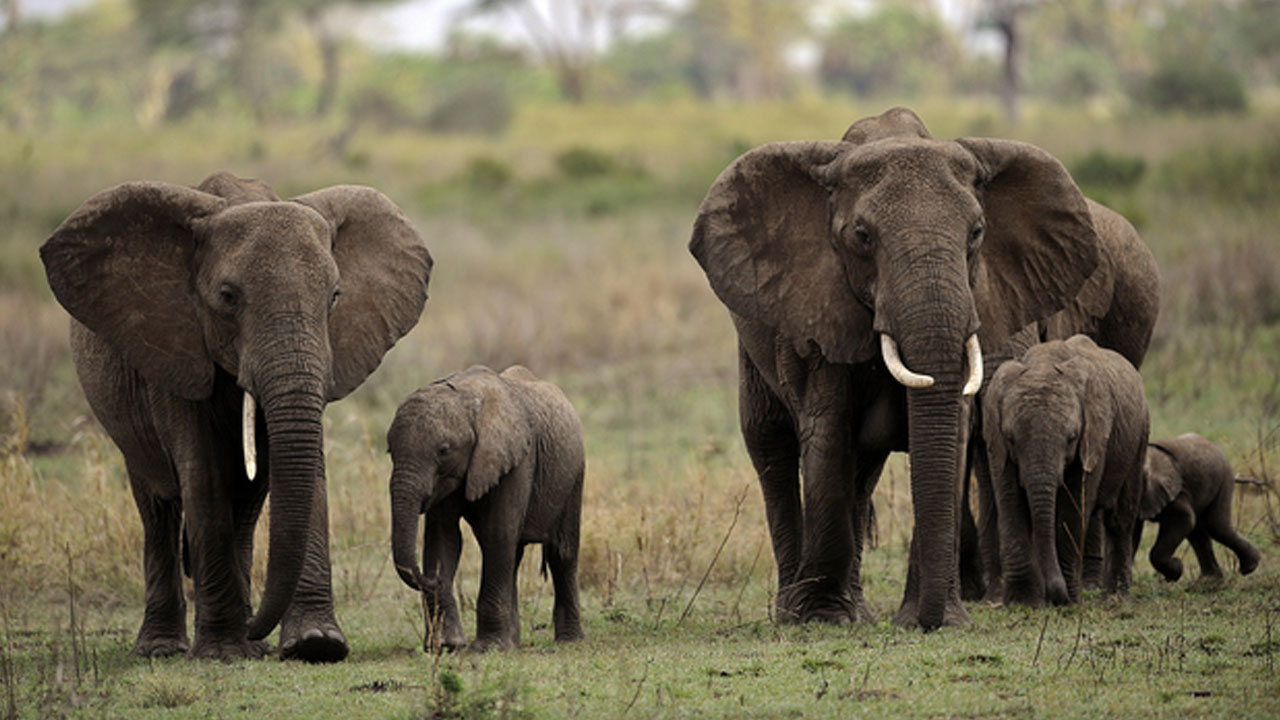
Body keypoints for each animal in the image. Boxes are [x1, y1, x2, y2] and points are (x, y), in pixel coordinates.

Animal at [40, 172, 432, 661]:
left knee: (245, 506)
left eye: (335, 297)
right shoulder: (177, 347)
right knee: (157, 506)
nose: (255, 632)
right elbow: (203, 475)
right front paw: (224, 652)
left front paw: (315, 645)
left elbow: (309, 469)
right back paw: (165, 648)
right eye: (227, 297)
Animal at [388, 365, 585, 652]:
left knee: (562, 553)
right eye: (389, 450)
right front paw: (446, 645)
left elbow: (497, 533)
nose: (433, 580)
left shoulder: (517, 459)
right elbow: (443, 537)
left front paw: (489, 648)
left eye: (444, 450)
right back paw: (514, 643)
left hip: (573, 475)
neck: (466, 397)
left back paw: (569, 642)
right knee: (513, 556)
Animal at [689, 106, 1121, 629]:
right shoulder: (821, 306)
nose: (929, 622)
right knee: (770, 443)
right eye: (861, 236)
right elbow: (827, 432)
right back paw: (795, 609)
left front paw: (934, 619)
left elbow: (951, 434)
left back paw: (856, 608)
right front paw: (823, 618)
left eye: (977, 233)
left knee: (863, 469)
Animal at [983, 335, 1148, 606]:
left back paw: (1116, 600)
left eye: (1071, 438)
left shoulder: (1093, 437)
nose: (1055, 596)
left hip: (1139, 436)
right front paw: (1022, 603)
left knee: (1120, 518)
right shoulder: (997, 443)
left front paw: (1068, 601)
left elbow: (1072, 509)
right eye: (1011, 438)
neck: (1043, 363)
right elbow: (1010, 501)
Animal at [1134, 433, 1261, 582]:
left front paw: (1176, 571)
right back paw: (1209, 581)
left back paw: (1248, 568)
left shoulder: (1176, 491)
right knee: (1199, 531)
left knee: (1216, 526)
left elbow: (1185, 518)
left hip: (1223, 479)